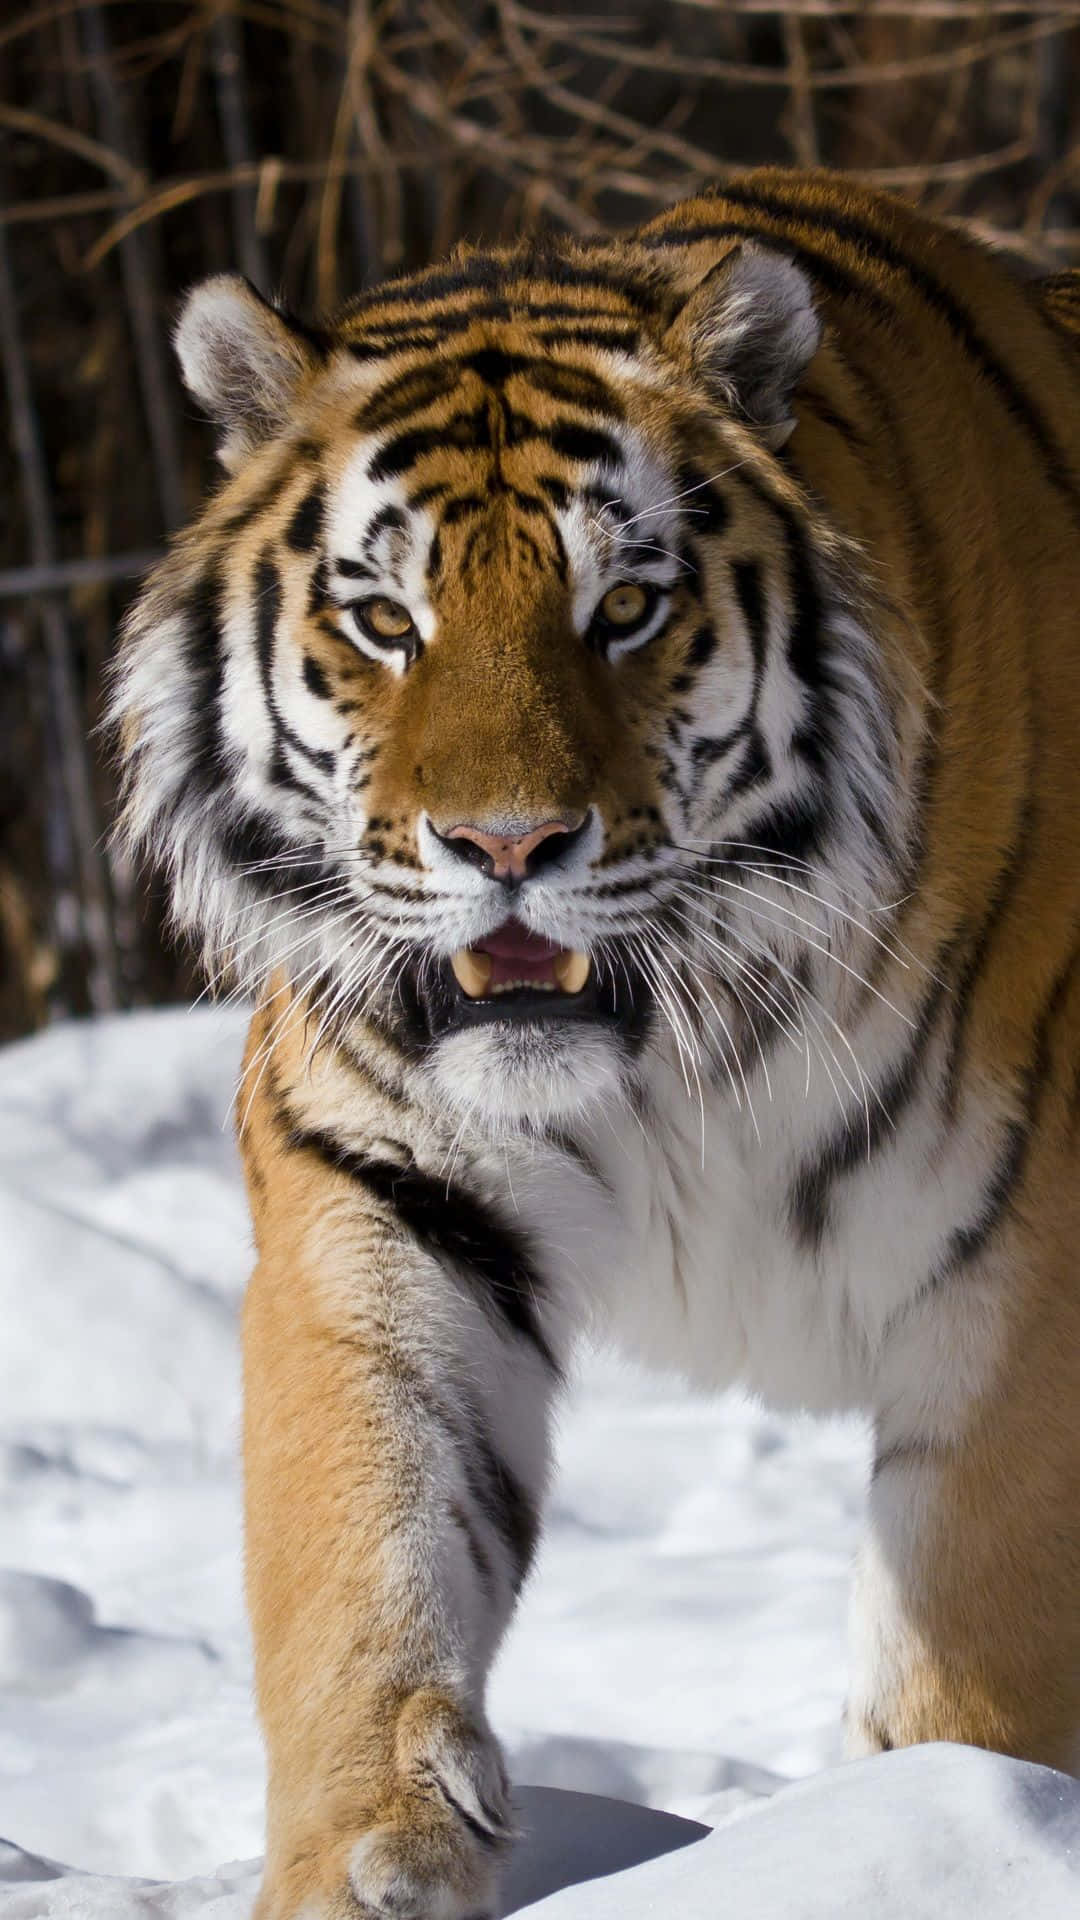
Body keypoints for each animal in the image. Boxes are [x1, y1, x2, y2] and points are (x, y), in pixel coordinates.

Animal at [111, 167, 1080, 1918]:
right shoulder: (380, 1190)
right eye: (385, 619)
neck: (691, 1050)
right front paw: (371, 1854)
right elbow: (364, 1547)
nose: (508, 844)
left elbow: (973, 1656)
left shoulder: (1029, 1268)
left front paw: (944, 1831)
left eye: (624, 607)